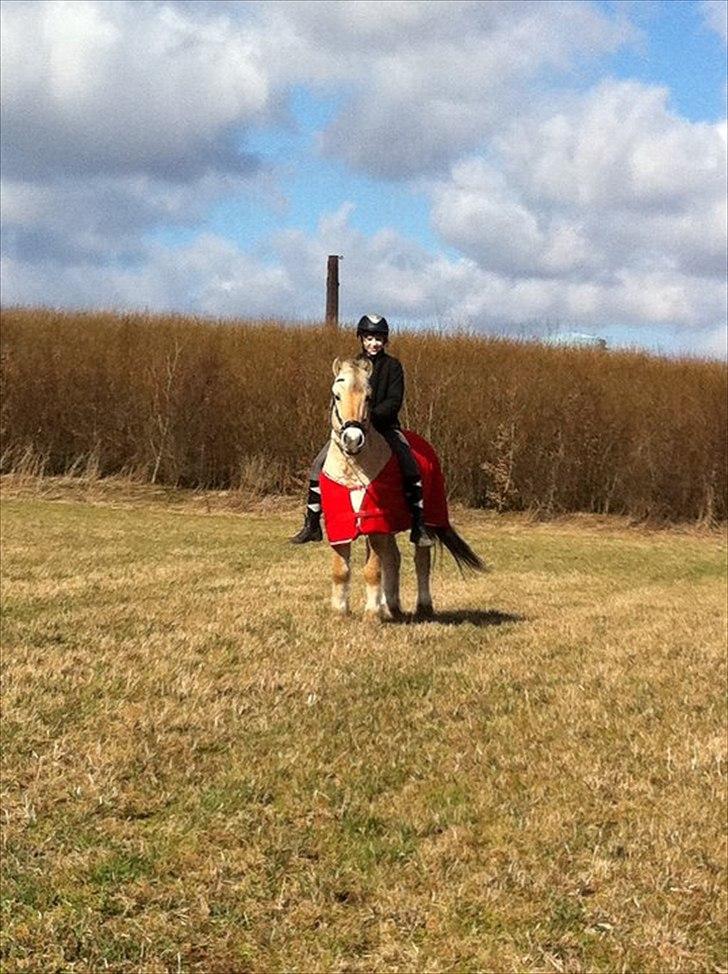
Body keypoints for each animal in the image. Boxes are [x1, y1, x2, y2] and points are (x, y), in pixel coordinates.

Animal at [318, 354, 484, 620]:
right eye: (337, 395)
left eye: (368, 397)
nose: (352, 440)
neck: (353, 468)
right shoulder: (341, 523)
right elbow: (341, 570)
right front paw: (340, 612)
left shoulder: (376, 523)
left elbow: (373, 569)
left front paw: (372, 614)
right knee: (393, 558)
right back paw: (391, 606)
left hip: (427, 521)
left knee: (420, 560)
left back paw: (422, 606)